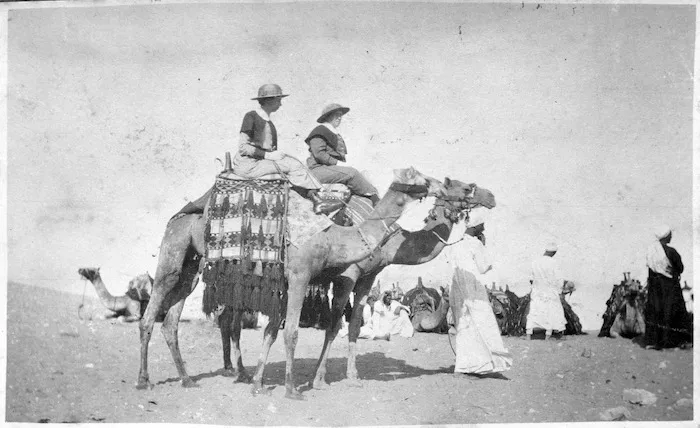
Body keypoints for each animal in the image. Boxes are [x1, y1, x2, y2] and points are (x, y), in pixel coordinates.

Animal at [135, 167, 446, 399]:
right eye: (420, 178)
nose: (444, 186)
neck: (333, 237)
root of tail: (182, 213)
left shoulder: (294, 283)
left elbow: (273, 331)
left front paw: (260, 384)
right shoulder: (305, 276)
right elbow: (295, 332)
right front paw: (293, 388)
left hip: (194, 268)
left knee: (175, 321)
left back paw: (190, 379)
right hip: (174, 248)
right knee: (153, 312)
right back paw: (144, 380)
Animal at [310, 179, 491, 389]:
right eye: (466, 187)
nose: (490, 197)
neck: (388, 242)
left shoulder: (367, 277)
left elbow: (354, 326)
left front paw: (353, 376)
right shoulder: (347, 275)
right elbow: (333, 327)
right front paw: (319, 378)